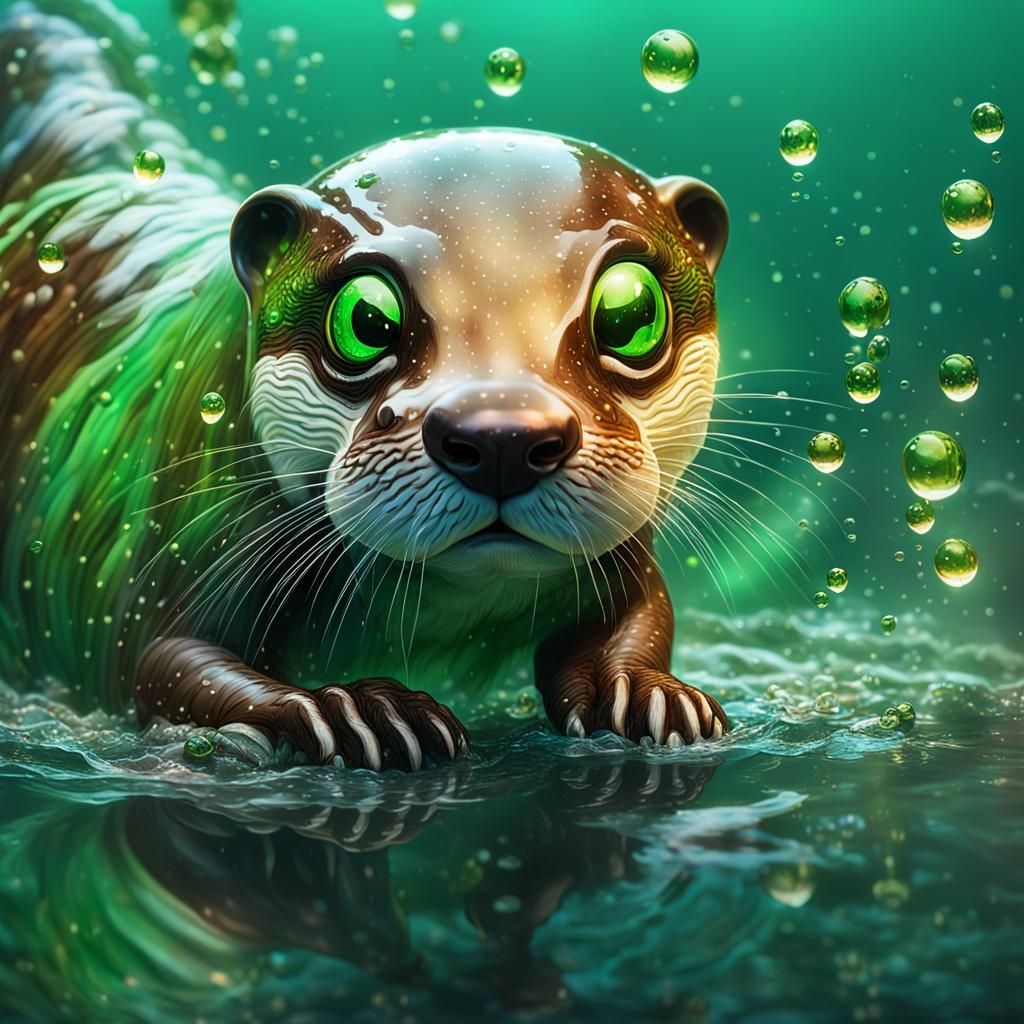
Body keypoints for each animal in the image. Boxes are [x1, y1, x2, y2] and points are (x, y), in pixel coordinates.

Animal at [0, 1, 730, 770]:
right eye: (367, 319)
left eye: (630, 312)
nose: (500, 437)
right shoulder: (186, 543)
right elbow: (165, 665)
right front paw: (357, 709)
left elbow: (644, 614)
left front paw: (651, 694)